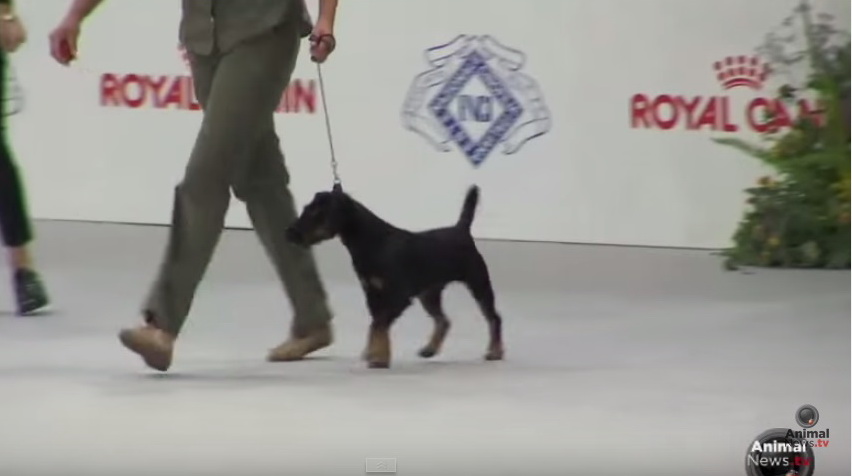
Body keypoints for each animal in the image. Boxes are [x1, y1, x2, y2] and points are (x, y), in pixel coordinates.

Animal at [285, 185, 504, 369]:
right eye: (306, 208)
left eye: (317, 213)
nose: (290, 233)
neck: (373, 241)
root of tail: (461, 229)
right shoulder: (372, 295)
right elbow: (375, 325)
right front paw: (374, 353)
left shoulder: (398, 297)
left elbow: (379, 325)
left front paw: (379, 358)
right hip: (429, 294)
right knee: (444, 320)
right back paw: (430, 349)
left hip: (478, 284)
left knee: (494, 318)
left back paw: (495, 352)